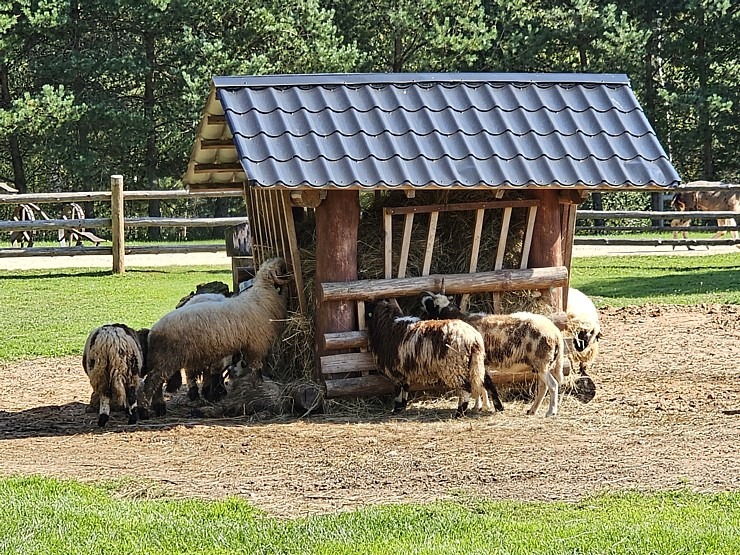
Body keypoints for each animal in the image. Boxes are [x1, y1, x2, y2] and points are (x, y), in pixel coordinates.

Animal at [137, 258, 290, 420]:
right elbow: (256, 368)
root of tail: (153, 331)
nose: (283, 261)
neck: (262, 295)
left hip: (164, 361)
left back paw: (159, 407)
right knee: (150, 385)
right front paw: (258, 384)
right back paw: (144, 410)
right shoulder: (256, 344)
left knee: (157, 384)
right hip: (166, 359)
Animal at [362, 300, 502, 416]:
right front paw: (401, 407)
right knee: (488, 381)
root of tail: (473, 338)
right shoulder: (403, 370)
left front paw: (396, 409)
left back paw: (460, 412)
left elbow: (398, 390)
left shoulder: (396, 370)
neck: (387, 325)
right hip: (475, 362)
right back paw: (499, 407)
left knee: (466, 388)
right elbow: (405, 389)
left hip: (455, 366)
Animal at [420, 296, 564, 416]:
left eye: (432, 304)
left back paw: (551, 411)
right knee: (543, 387)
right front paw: (479, 406)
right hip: (542, 364)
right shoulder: (480, 363)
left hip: (542, 361)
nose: (423, 298)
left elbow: (479, 384)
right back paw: (532, 410)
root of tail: (556, 332)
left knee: (552, 385)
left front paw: (482, 406)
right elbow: (480, 383)